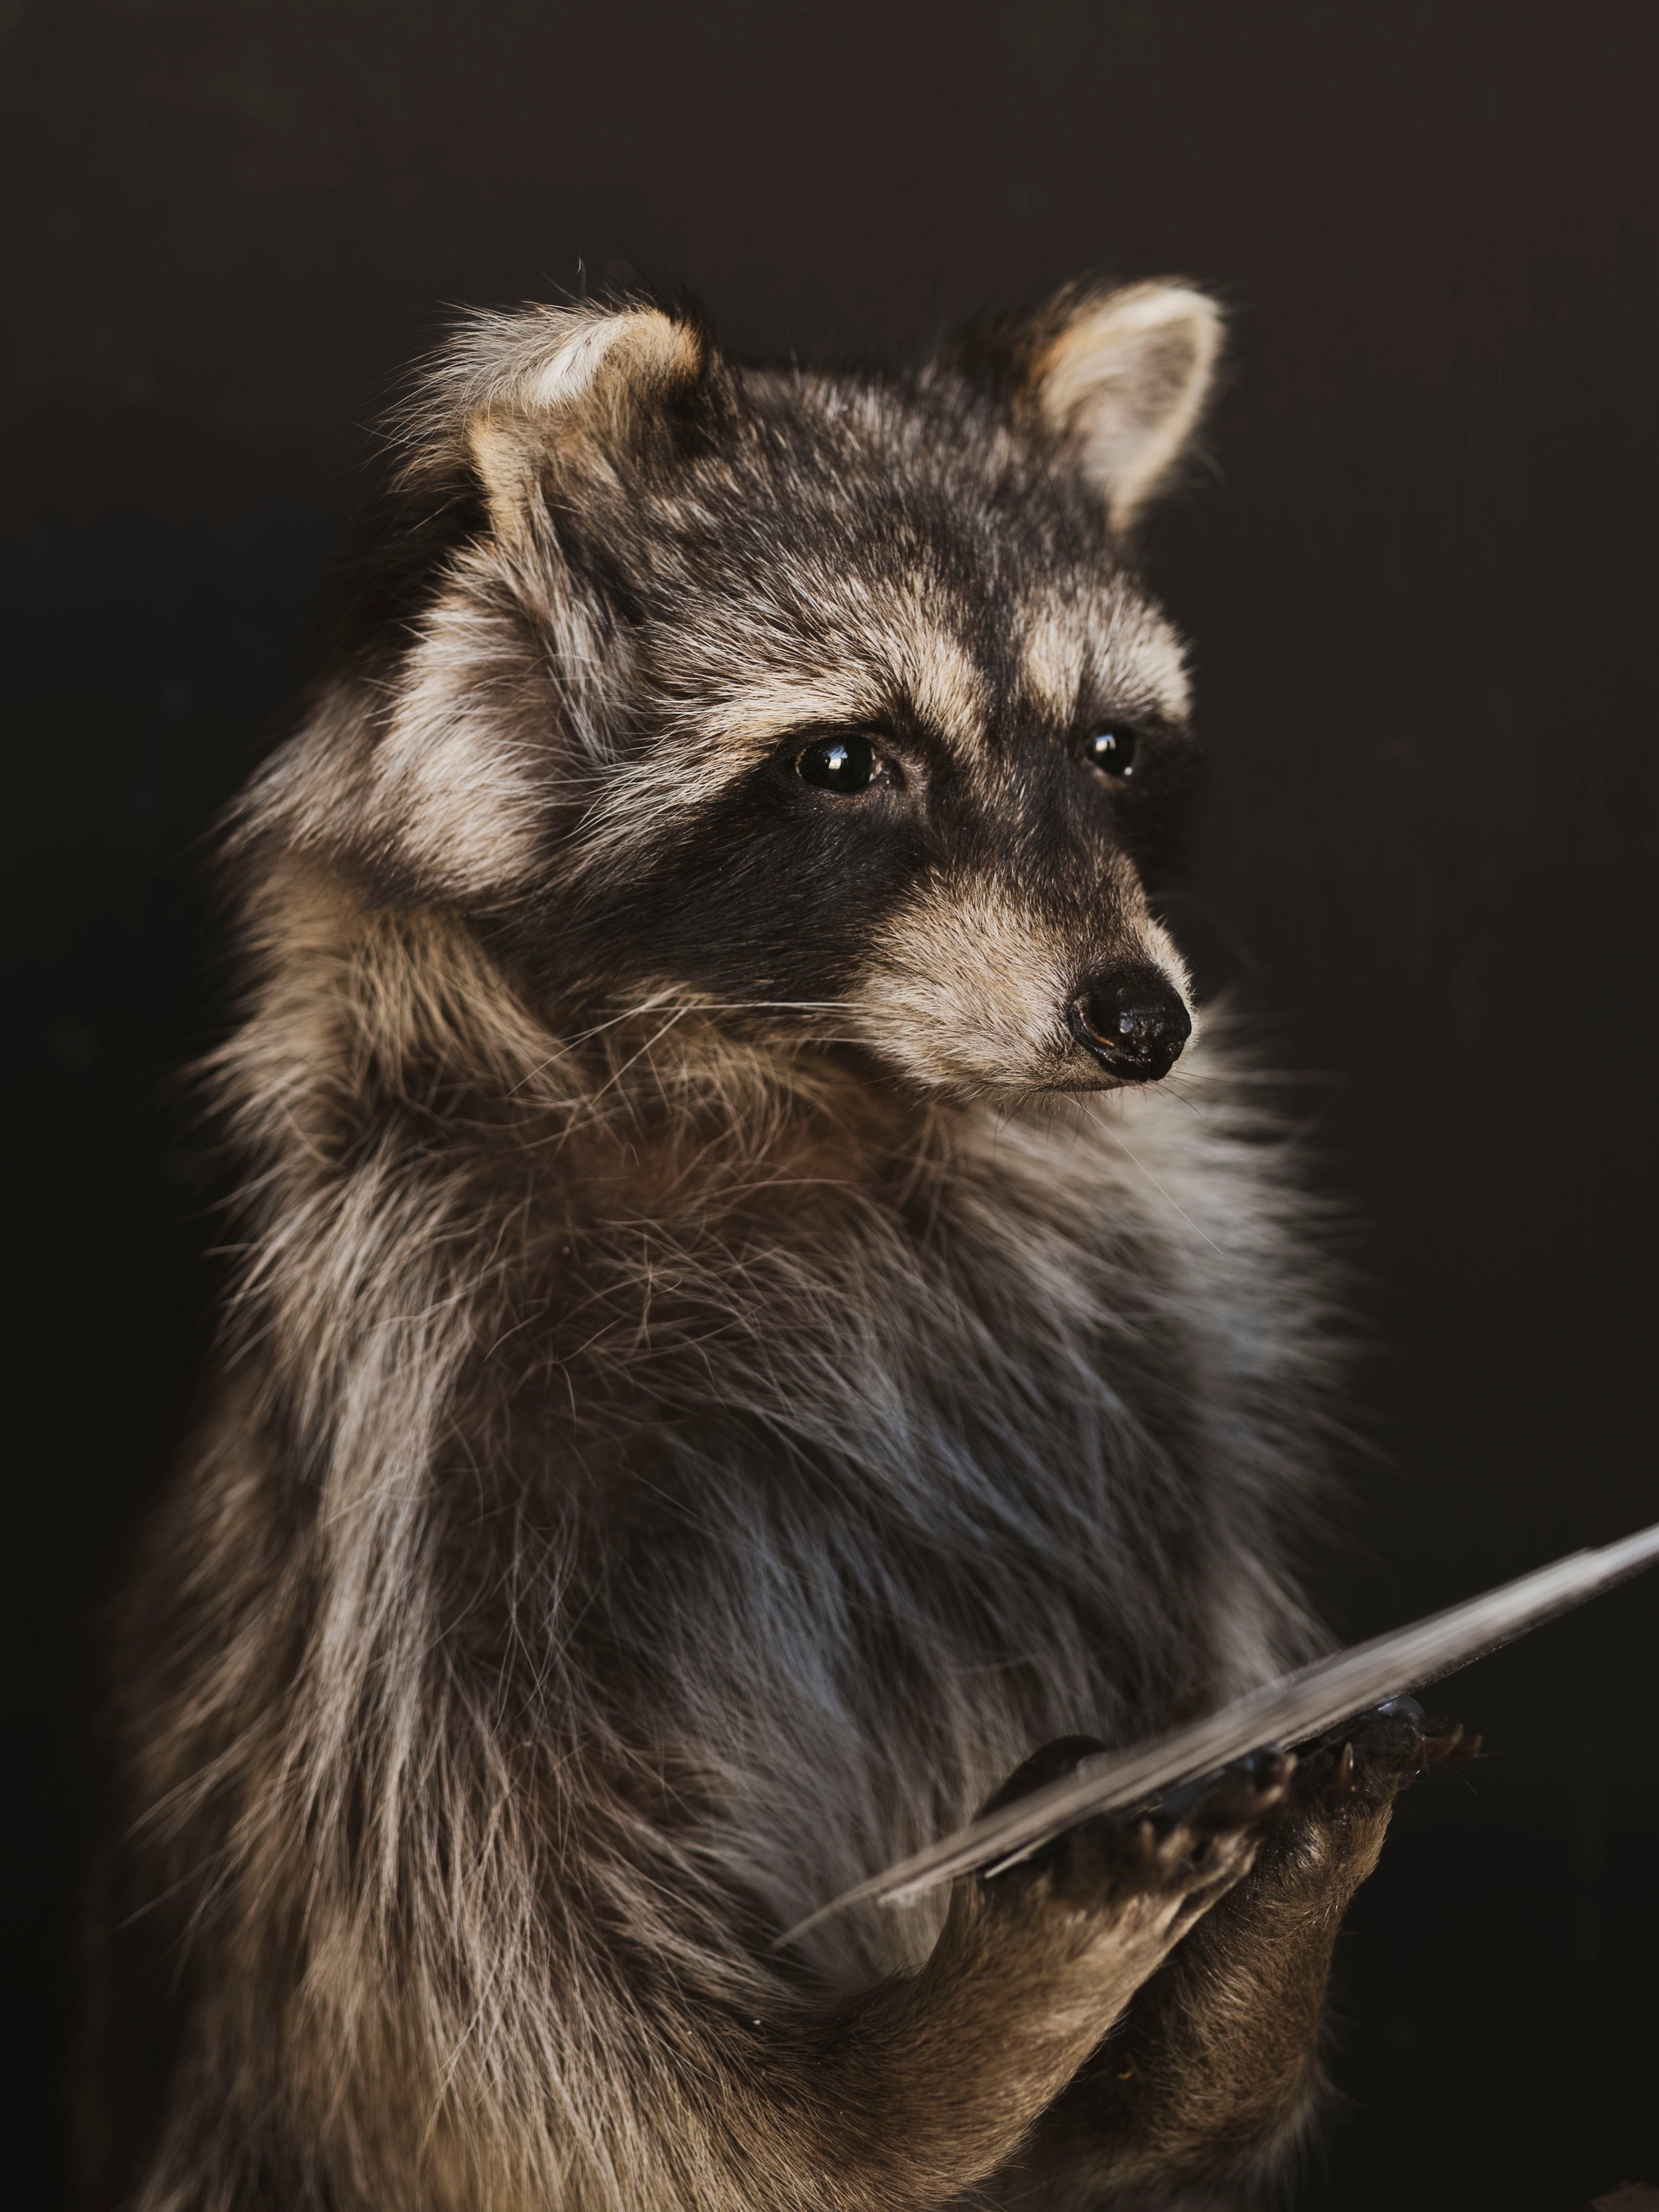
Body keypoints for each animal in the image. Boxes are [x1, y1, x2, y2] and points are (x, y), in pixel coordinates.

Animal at [83, 280, 1469, 2212]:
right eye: (841, 762)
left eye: (1109, 746)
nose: (1137, 1020)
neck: (824, 1089)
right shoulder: (413, 1391)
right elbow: (488, 1937)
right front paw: (836, 2109)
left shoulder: (1139, 1373)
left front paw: (1202, 2044)